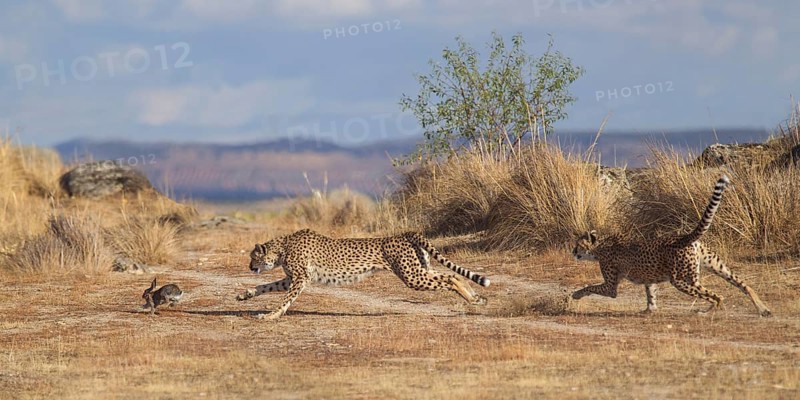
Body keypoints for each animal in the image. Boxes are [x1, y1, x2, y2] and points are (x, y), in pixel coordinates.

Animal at [236, 229, 490, 320]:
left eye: (253, 257)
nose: (249, 267)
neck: (283, 246)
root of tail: (405, 233)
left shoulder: (299, 279)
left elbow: (285, 299)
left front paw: (271, 315)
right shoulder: (292, 278)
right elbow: (266, 286)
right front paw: (244, 295)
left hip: (412, 276)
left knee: (451, 277)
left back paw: (472, 299)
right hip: (421, 270)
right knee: (454, 275)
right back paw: (476, 298)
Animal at [572, 175, 772, 317]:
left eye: (577, 245)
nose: (573, 252)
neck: (599, 246)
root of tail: (686, 236)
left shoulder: (611, 286)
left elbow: (591, 287)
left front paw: (576, 295)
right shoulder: (649, 279)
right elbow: (650, 293)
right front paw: (649, 310)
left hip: (680, 280)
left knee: (717, 296)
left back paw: (704, 312)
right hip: (716, 266)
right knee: (744, 286)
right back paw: (763, 309)